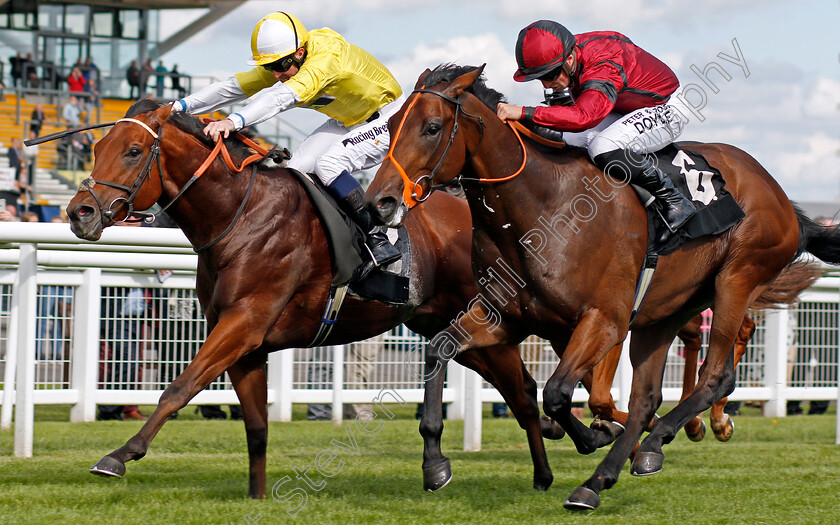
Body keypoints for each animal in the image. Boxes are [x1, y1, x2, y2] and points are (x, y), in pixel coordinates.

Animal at [65, 97, 556, 496]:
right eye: (97, 148)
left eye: (132, 151)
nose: (78, 212)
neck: (240, 214)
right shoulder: (245, 342)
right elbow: (257, 426)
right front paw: (257, 495)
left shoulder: (243, 324)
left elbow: (179, 387)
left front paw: (119, 456)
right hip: (446, 327)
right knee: (519, 391)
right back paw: (542, 471)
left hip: (481, 320)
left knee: (522, 390)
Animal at [366, 64, 840, 508]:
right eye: (390, 126)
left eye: (432, 127)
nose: (378, 203)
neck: (542, 208)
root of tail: (781, 198)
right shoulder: (506, 318)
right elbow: (440, 349)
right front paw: (435, 463)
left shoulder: (605, 321)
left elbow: (558, 394)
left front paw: (593, 436)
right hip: (667, 311)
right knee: (650, 396)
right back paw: (608, 475)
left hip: (737, 279)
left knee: (715, 376)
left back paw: (662, 439)